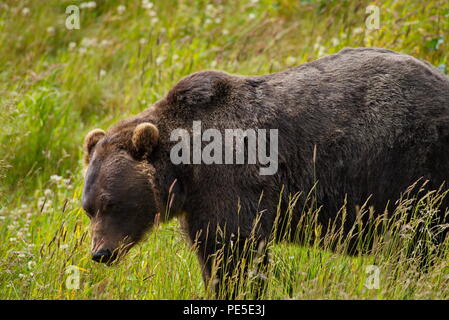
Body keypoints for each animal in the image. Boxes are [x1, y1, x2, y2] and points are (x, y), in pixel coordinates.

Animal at [81, 47, 448, 298]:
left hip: (411, 165)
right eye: (88, 208)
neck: (185, 169)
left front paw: (236, 288)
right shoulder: (198, 203)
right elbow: (212, 252)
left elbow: (234, 250)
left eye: (112, 202)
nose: (100, 253)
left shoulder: (229, 183)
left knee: (418, 239)